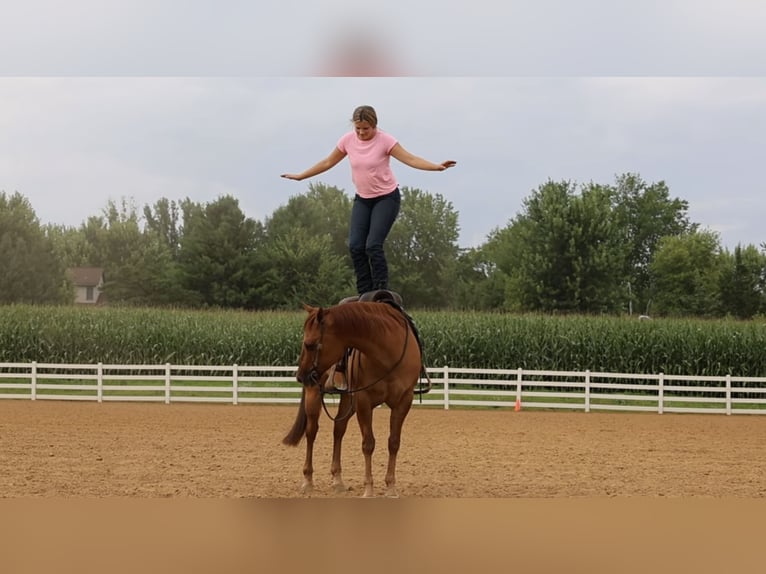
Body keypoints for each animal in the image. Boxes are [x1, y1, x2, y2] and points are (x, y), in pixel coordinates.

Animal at [283, 297, 429, 498]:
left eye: (310, 344)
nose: (300, 376)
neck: (388, 353)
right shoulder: (363, 401)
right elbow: (368, 444)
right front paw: (368, 489)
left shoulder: (403, 401)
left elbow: (394, 442)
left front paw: (391, 487)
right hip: (315, 394)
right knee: (311, 432)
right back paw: (308, 481)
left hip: (347, 400)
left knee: (338, 428)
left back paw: (338, 480)